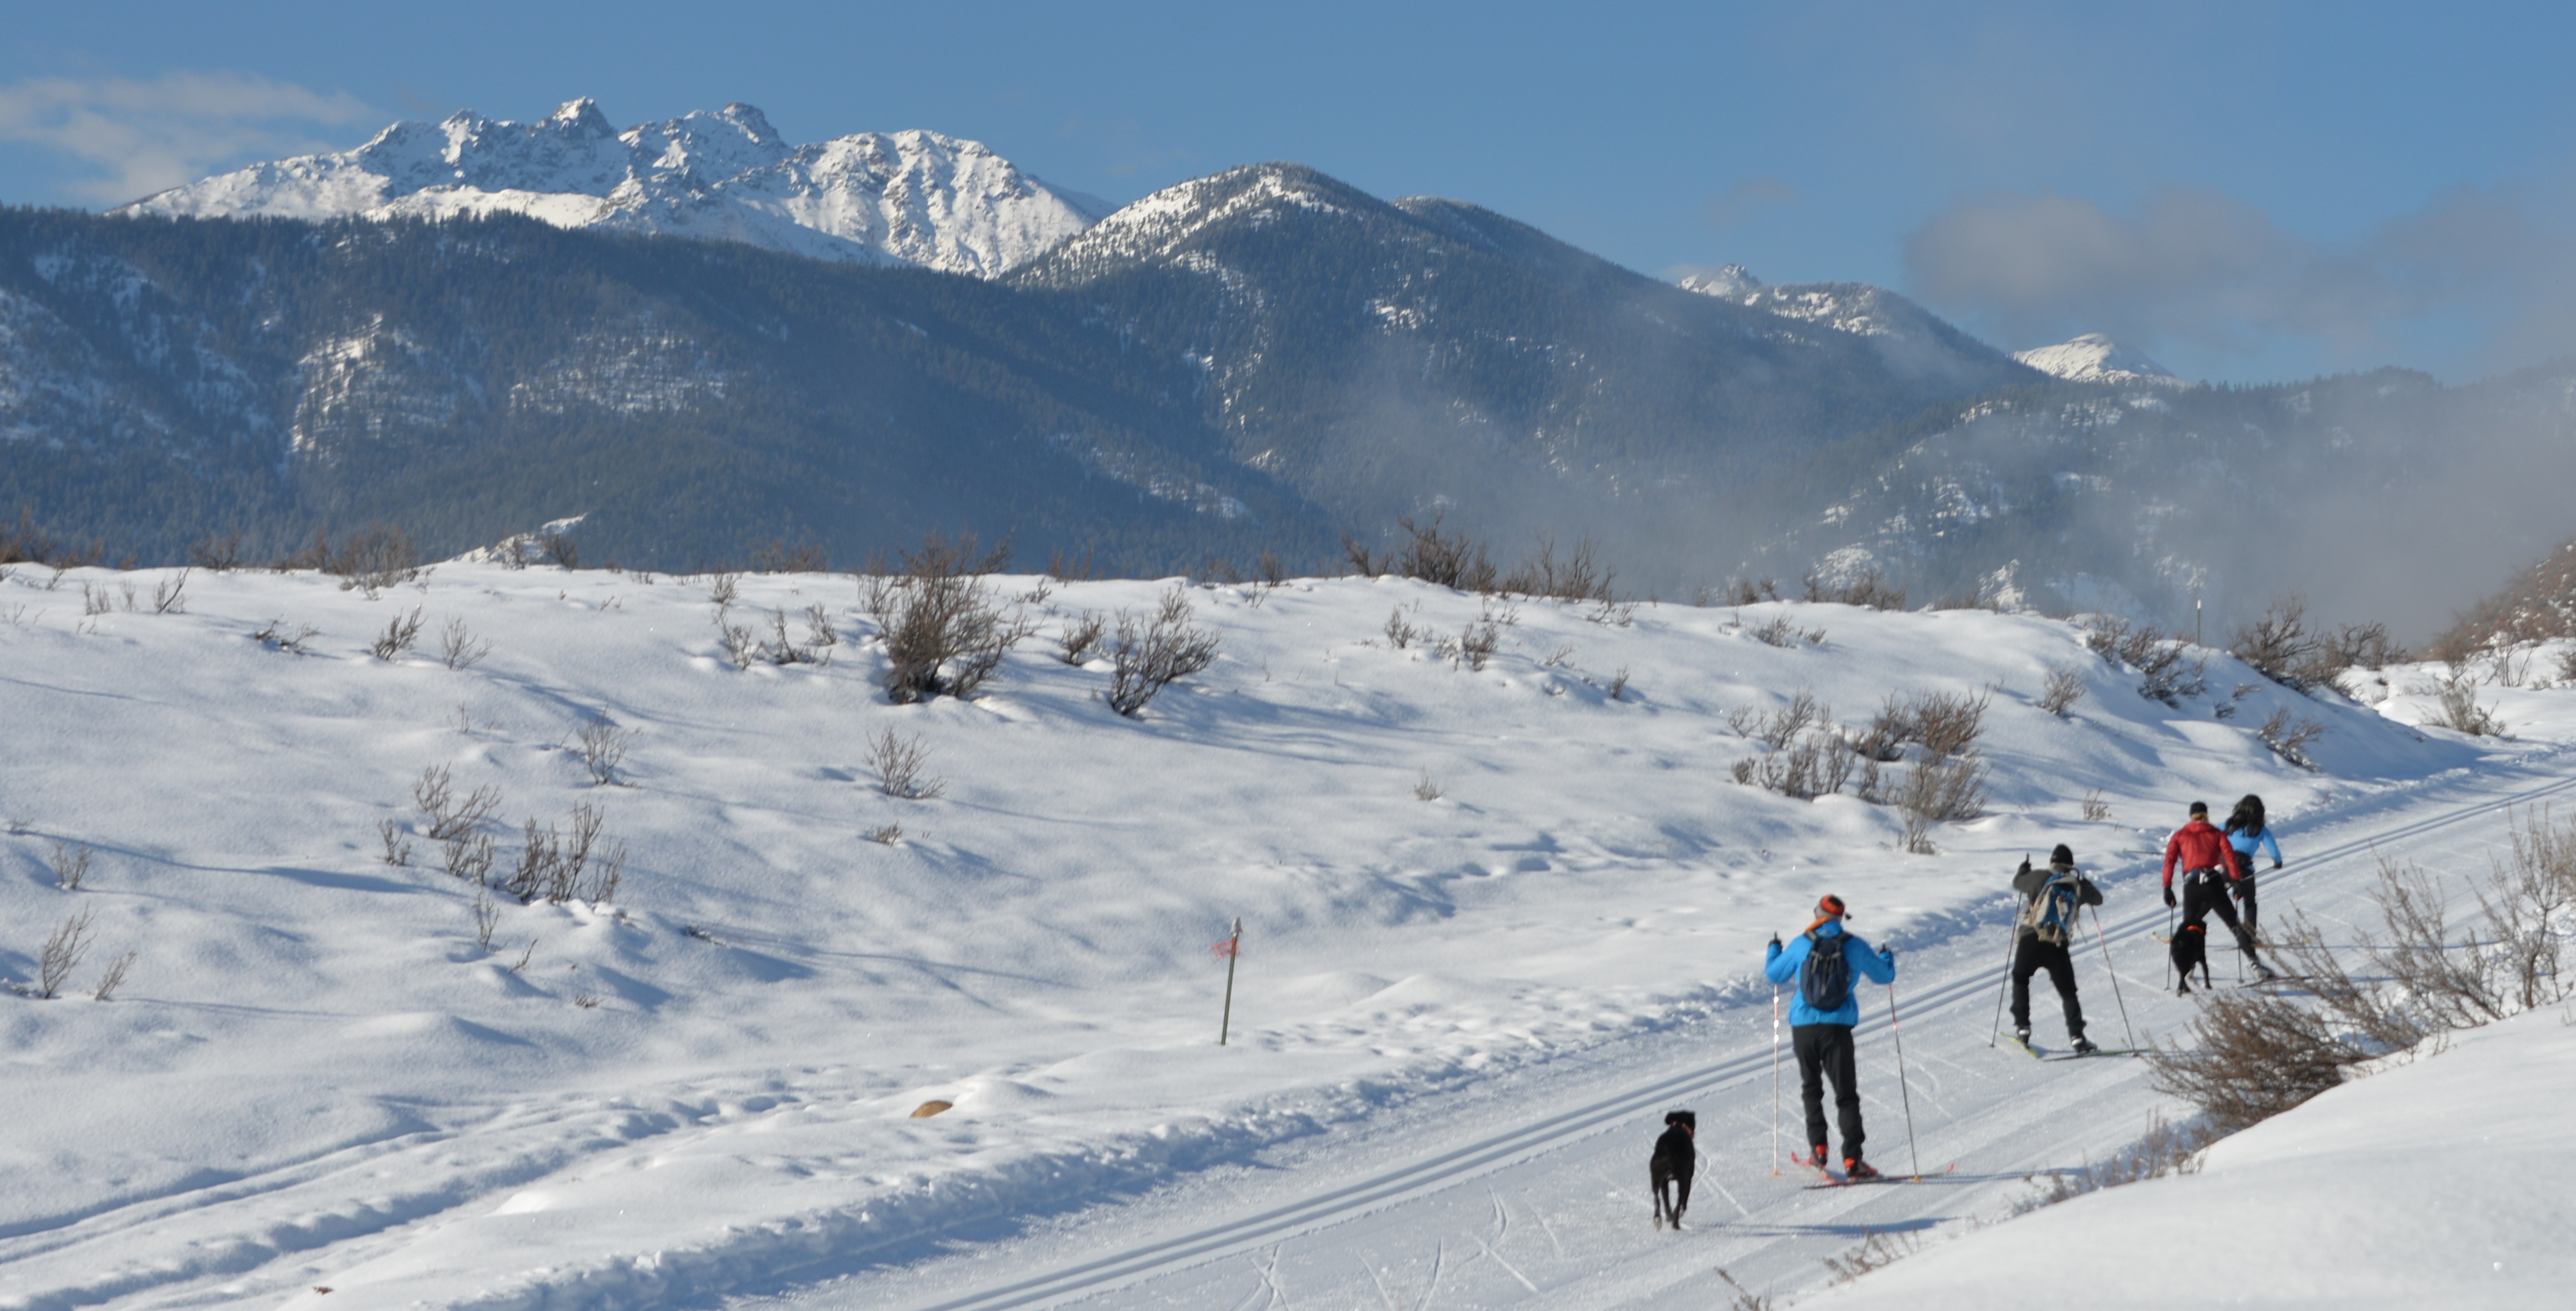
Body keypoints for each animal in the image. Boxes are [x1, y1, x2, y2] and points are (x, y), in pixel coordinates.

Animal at [1658, 1102, 1700, 1226]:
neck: (1679, 1126)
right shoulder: (1688, 1178)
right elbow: (1684, 1202)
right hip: (1683, 1180)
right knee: (1679, 1203)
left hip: (1663, 1182)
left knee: (1667, 1203)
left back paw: (1669, 1218)